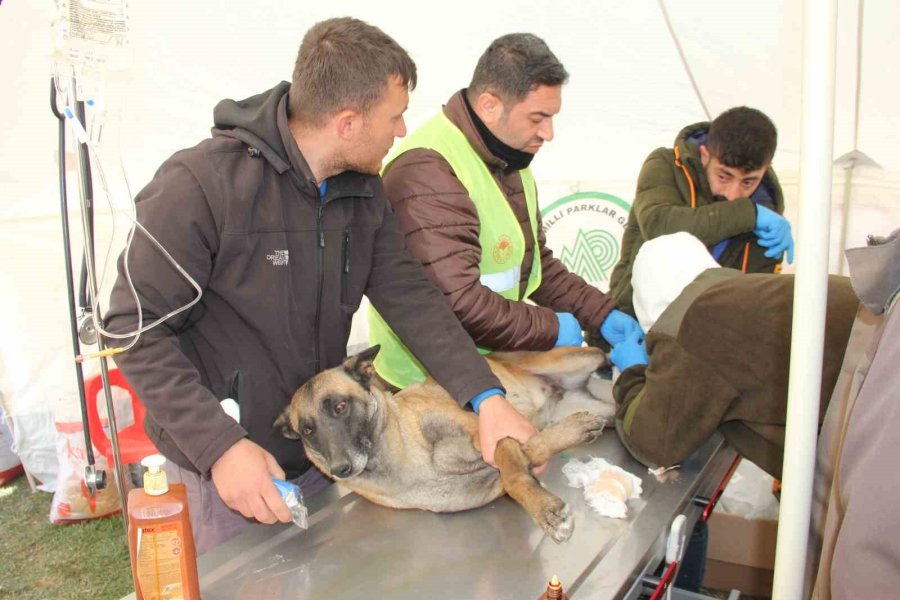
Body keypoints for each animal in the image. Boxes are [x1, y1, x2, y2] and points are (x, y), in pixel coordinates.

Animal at [274, 344, 612, 540]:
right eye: (307, 430)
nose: (340, 469)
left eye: (340, 407)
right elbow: (526, 456)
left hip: (576, 357)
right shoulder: (497, 468)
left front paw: (545, 510)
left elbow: (515, 474)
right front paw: (573, 431)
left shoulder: (485, 430)